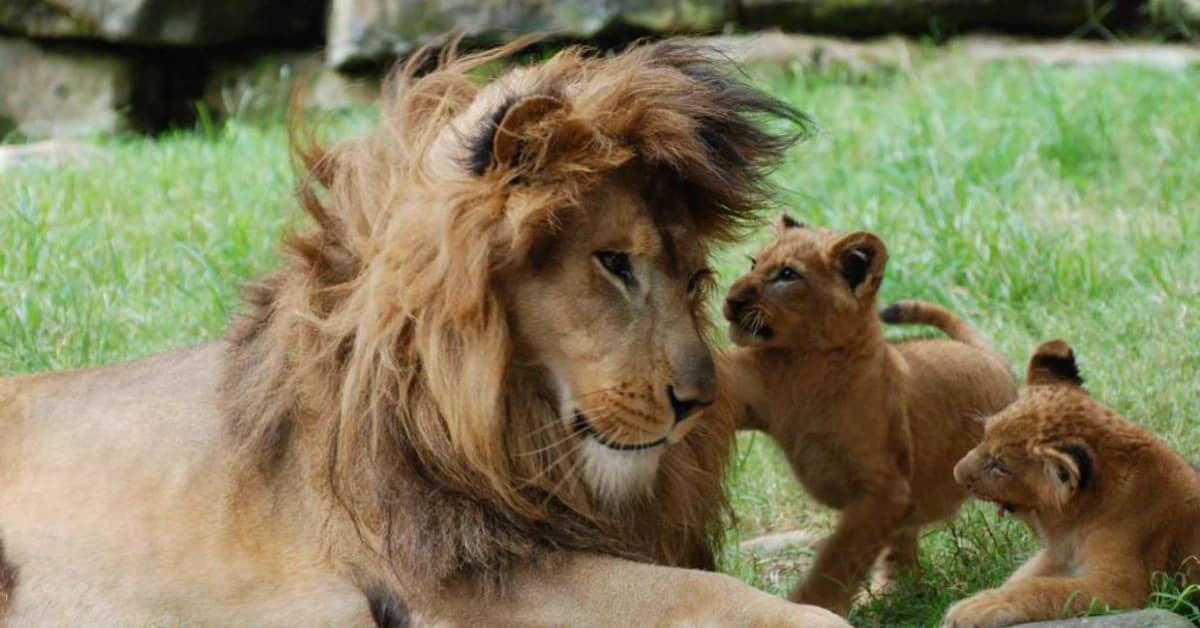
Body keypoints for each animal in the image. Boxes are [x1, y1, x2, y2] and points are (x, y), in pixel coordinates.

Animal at [0, 41, 849, 624]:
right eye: (614, 263)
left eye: (692, 279)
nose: (699, 405)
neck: (503, 411)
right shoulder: (464, 577)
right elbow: (714, 597)